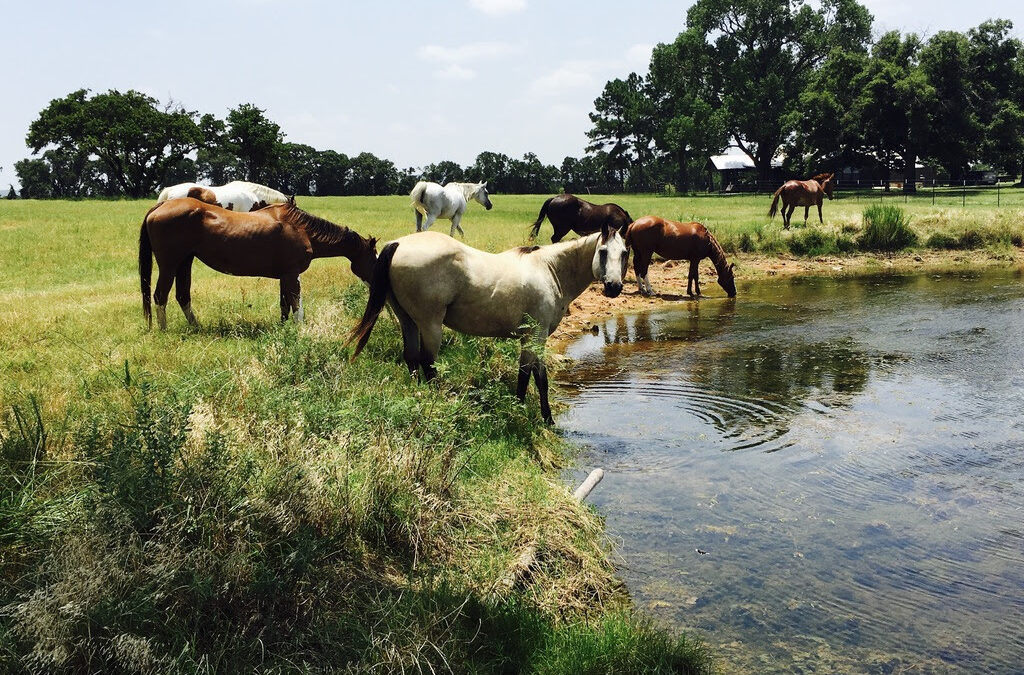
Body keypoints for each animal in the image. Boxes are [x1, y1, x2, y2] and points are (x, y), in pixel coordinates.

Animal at [139, 198, 377, 329]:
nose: (376, 284)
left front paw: (284, 327)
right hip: (169, 265)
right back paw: (164, 330)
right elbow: (296, 305)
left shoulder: (285, 275)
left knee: (182, 296)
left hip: (184, 262)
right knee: (160, 296)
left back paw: (196, 327)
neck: (301, 229)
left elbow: (285, 304)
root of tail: (160, 205)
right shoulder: (292, 274)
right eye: (374, 258)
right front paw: (300, 330)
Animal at [346, 224, 628, 424]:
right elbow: (535, 376)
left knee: (411, 358)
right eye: (603, 252)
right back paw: (439, 401)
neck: (549, 269)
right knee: (428, 362)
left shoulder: (531, 337)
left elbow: (529, 374)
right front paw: (533, 415)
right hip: (430, 323)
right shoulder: (536, 335)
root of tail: (399, 243)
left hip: (408, 321)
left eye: (625, 253)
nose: (614, 287)